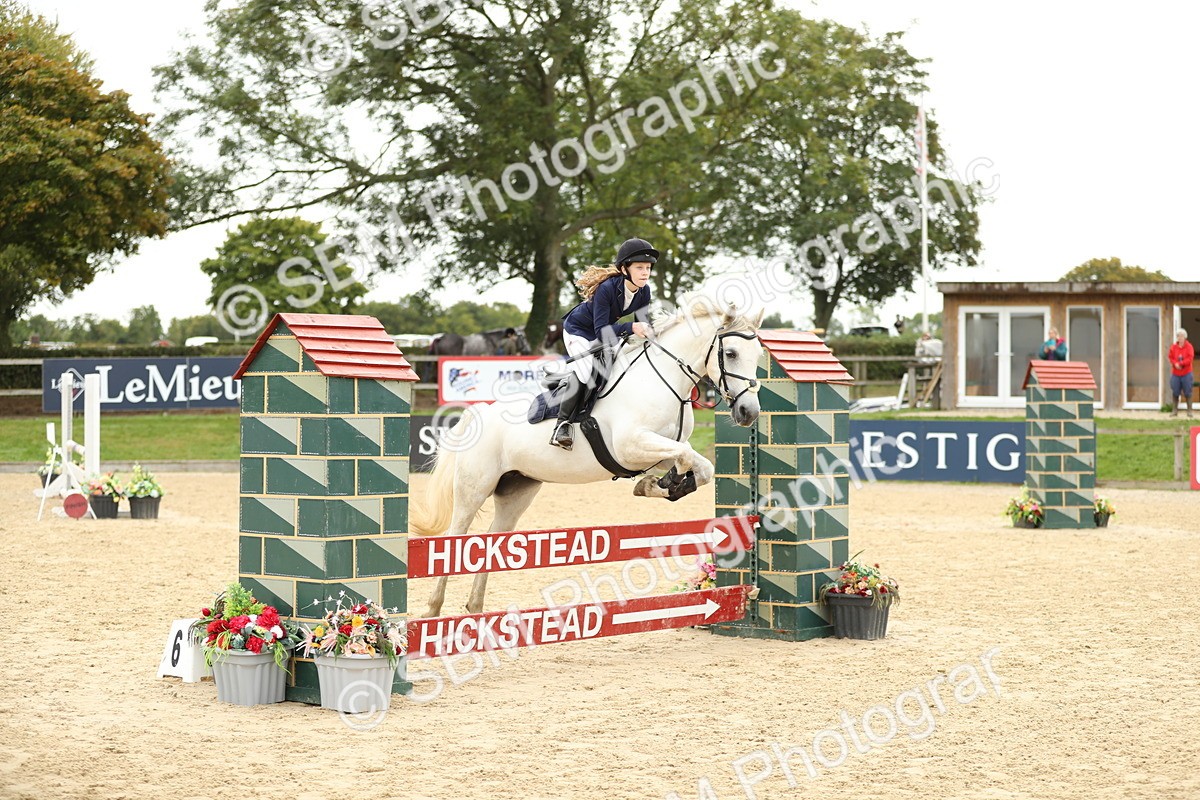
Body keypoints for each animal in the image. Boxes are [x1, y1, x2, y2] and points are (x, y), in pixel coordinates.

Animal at [410, 293, 765, 617]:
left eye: (759, 354)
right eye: (731, 353)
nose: (749, 412)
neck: (663, 380)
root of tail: (477, 414)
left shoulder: (656, 448)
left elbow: (695, 464)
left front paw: (660, 485)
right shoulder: (630, 445)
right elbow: (690, 458)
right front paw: (663, 484)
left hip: (517, 490)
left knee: (491, 541)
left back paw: (476, 609)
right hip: (474, 488)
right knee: (455, 538)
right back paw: (432, 610)